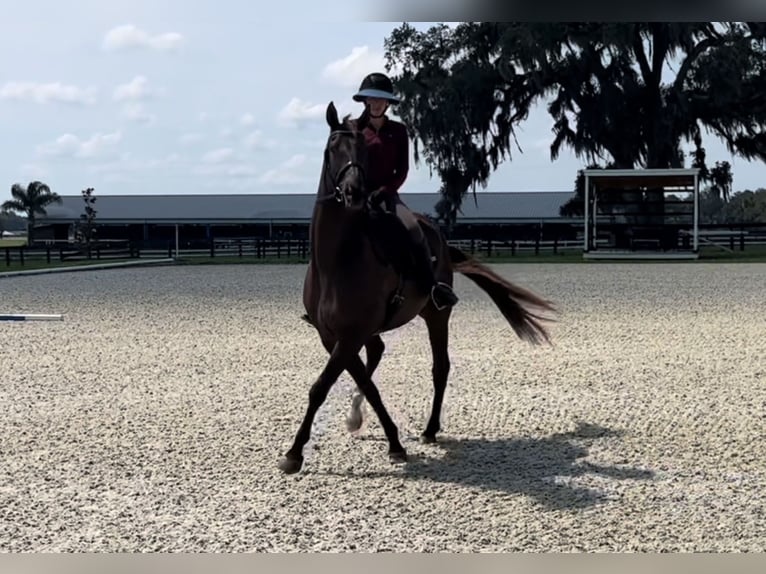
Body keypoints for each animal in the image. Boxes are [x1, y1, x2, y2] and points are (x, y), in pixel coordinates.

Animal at [276, 100, 560, 476]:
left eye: (364, 151)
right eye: (332, 147)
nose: (354, 193)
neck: (336, 260)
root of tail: (436, 232)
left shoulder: (351, 334)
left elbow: (324, 386)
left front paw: (297, 452)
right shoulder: (332, 335)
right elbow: (362, 383)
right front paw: (359, 429)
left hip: (436, 316)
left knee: (440, 368)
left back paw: (430, 430)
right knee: (378, 352)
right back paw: (361, 414)